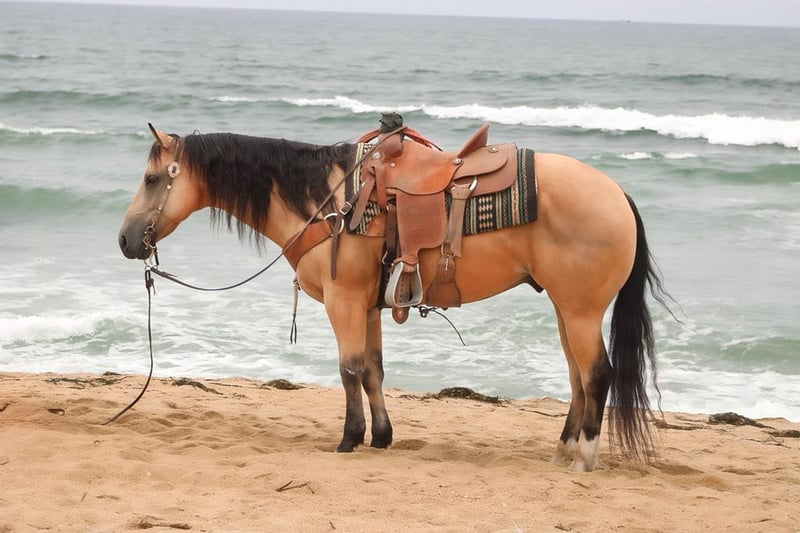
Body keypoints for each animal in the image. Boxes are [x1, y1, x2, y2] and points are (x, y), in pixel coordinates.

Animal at [118, 123, 666, 472]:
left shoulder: (342, 301)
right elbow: (374, 370)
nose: (124, 241)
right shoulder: (368, 306)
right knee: (576, 378)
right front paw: (381, 437)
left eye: (151, 178)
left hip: (580, 311)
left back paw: (585, 458)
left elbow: (348, 369)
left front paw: (349, 438)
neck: (330, 202)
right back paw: (563, 451)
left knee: (596, 375)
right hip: (565, 310)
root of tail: (617, 194)